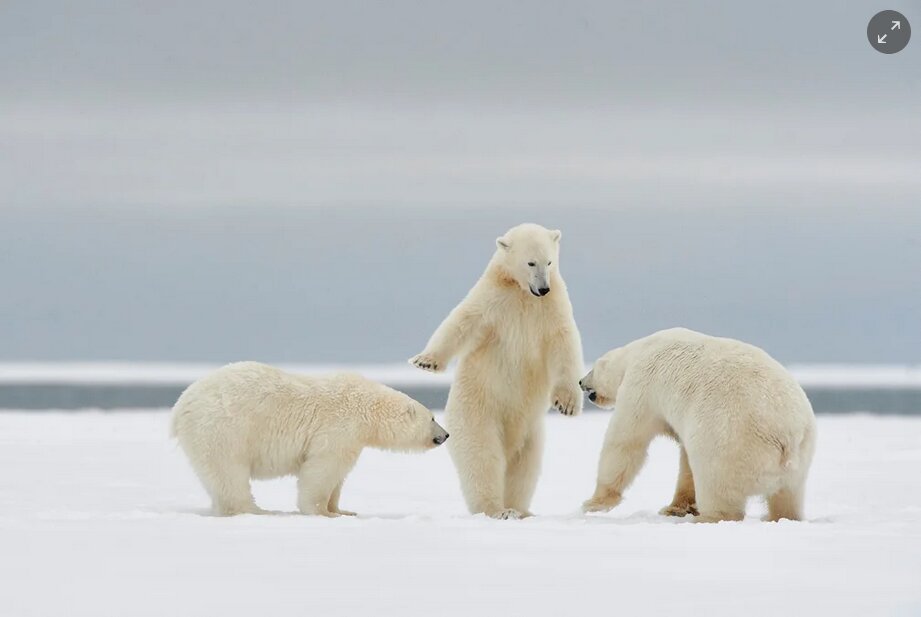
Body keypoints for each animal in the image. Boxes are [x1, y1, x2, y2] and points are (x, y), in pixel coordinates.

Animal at [172, 360, 450, 516]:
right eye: (432, 418)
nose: (446, 434)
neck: (366, 406)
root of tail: (180, 407)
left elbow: (338, 477)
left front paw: (343, 510)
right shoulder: (339, 428)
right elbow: (322, 470)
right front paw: (323, 513)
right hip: (223, 429)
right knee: (229, 473)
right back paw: (256, 510)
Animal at [410, 224, 584, 516]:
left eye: (549, 261)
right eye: (530, 262)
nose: (543, 288)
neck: (522, 293)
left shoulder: (553, 308)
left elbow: (565, 345)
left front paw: (567, 404)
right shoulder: (493, 300)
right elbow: (462, 321)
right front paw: (426, 361)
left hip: (532, 432)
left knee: (524, 467)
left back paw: (520, 510)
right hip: (478, 412)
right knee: (483, 457)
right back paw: (497, 509)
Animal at [580, 328, 816, 520]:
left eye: (593, 369)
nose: (581, 381)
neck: (640, 349)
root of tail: (787, 435)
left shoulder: (641, 385)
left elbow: (626, 440)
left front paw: (593, 503)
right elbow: (685, 461)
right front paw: (676, 508)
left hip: (730, 442)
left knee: (716, 484)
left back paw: (708, 517)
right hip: (801, 459)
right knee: (787, 497)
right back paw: (781, 516)